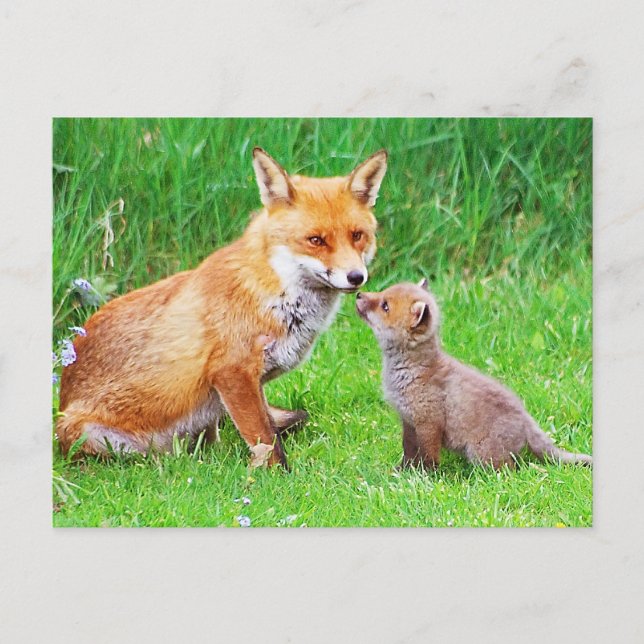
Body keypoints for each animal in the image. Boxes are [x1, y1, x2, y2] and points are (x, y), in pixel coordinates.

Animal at [57, 147, 388, 467]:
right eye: (316, 240)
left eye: (357, 236)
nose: (356, 277)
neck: (273, 292)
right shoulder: (233, 373)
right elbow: (268, 441)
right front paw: (278, 477)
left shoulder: (250, 383)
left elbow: (266, 430)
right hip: (96, 436)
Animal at [356, 280, 592, 470]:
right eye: (382, 293)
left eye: (385, 306)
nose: (358, 294)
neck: (411, 371)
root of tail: (526, 419)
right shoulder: (408, 420)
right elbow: (409, 450)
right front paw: (402, 471)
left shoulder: (429, 422)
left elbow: (429, 455)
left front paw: (427, 475)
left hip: (482, 454)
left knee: (511, 468)